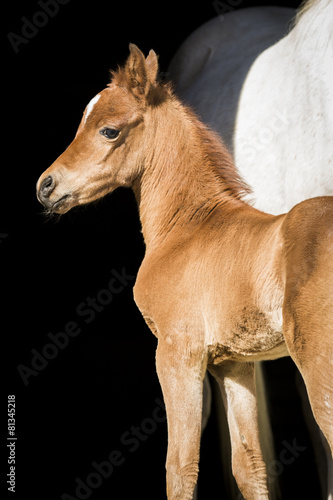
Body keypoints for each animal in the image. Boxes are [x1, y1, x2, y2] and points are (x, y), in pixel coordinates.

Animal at [37, 45, 330, 498]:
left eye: (109, 131)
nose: (46, 186)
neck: (188, 228)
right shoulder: (233, 363)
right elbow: (249, 466)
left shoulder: (177, 353)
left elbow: (180, 466)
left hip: (317, 358)